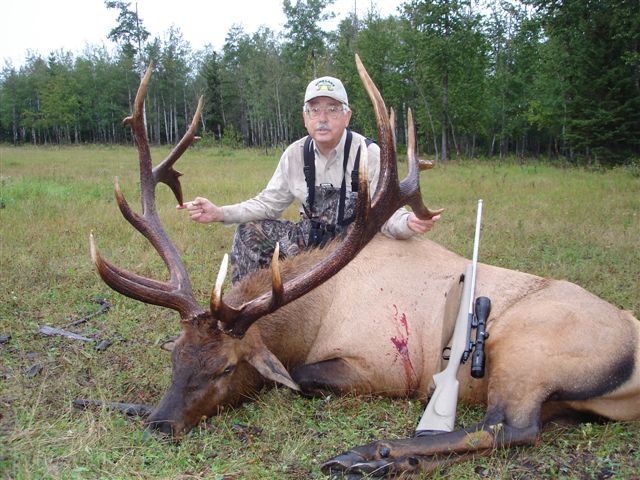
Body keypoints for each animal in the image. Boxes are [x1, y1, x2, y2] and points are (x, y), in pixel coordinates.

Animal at [88, 55, 640, 477]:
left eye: (226, 366)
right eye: (175, 356)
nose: (161, 424)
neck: (312, 317)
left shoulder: (380, 368)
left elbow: (301, 374)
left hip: (526, 351)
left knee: (510, 427)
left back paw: (372, 451)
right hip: (562, 398)